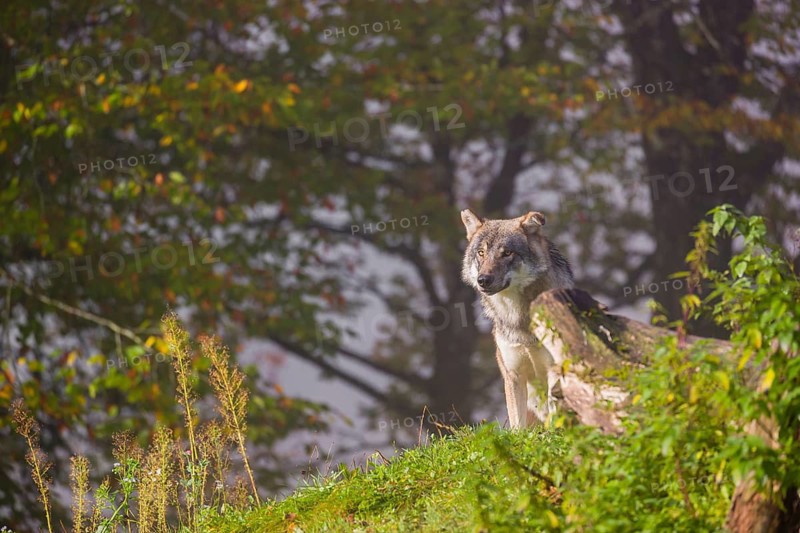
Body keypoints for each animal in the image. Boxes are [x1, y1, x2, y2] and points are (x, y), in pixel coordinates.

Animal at [460, 209, 574, 428]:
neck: (520, 318)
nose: (483, 280)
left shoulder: (555, 373)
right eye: (481, 253)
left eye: (507, 253)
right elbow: (517, 427)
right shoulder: (513, 375)